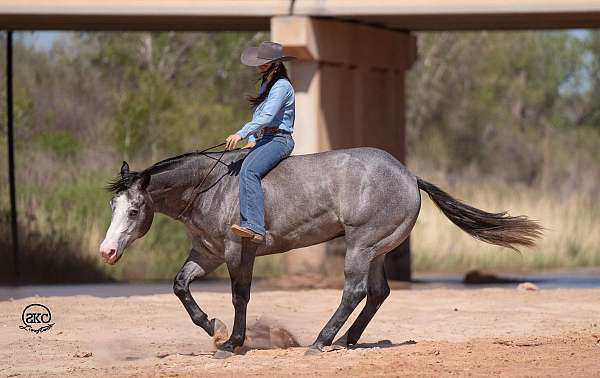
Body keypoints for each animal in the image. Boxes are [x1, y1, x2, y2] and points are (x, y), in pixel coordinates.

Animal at [99, 146, 544, 358]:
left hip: (361, 245)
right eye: (113, 206)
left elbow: (240, 296)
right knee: (377, 292)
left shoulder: (236, 251)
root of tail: (409, 175)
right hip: (377, 249)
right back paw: (347, 340)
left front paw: (231, 340)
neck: (212, 187)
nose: (106, 251)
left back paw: (322, 340)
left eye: (134, 210)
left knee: (355, 291)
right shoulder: (207, 253)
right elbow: (180, 286)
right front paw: (213, 327)